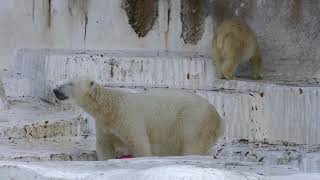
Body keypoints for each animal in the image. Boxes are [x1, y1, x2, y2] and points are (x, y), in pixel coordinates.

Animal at [53, 79, 225, 160]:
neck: (112, 107)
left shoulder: (129, 120)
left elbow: (140, 145)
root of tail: (219, 119)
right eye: (65, 79)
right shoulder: (104, 125)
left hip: (193, 119)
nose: (55, 90)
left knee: (191, 143)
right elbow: (104, 146)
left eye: (70, 83)